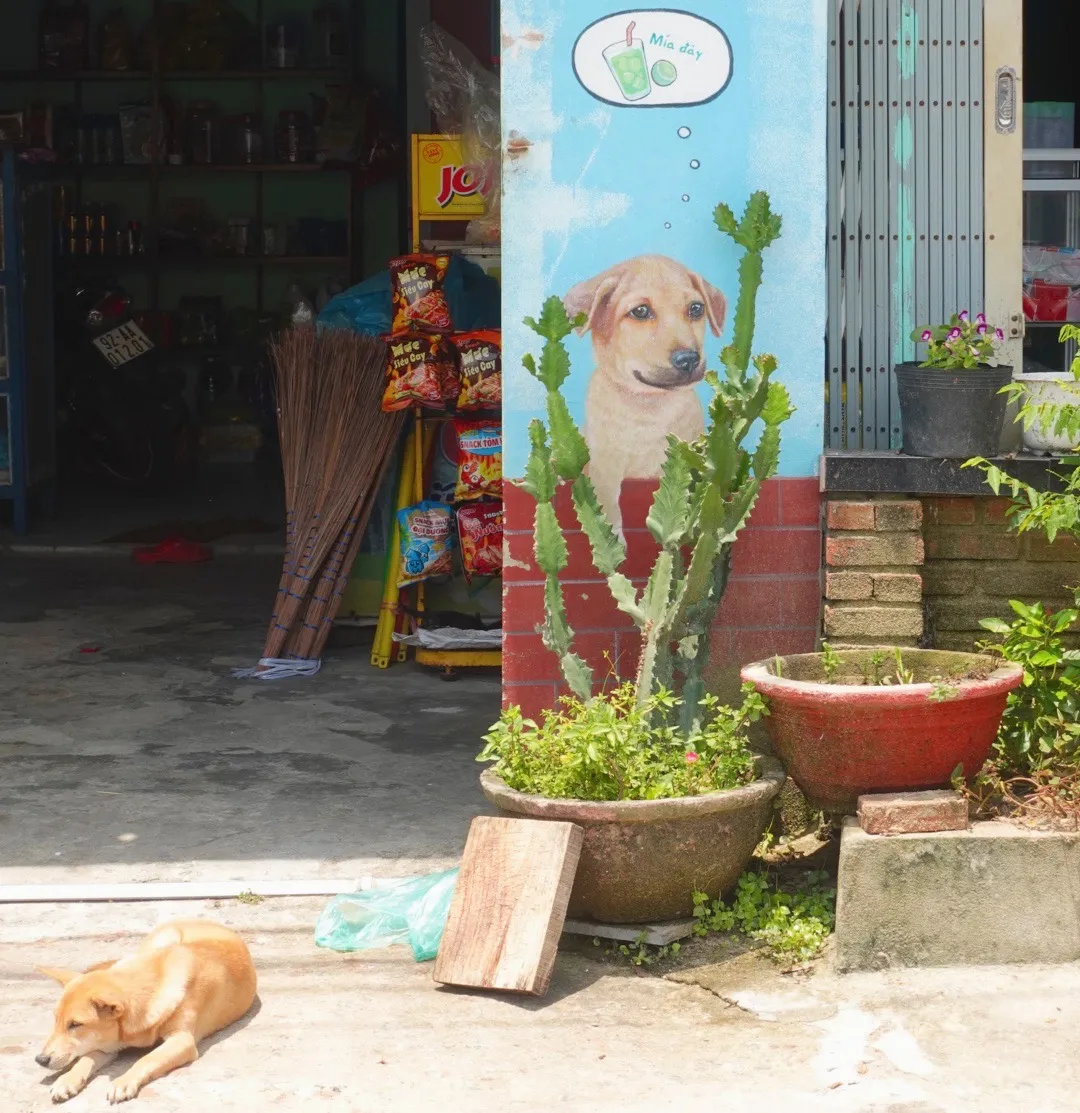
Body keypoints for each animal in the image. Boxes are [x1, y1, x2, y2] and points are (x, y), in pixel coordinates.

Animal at [563, 255, 725, 534]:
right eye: (640, 311)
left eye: (696, 309)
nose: (689, 360)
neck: (649, 408)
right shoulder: (604, 465)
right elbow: (607, 505)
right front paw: (613, 540)